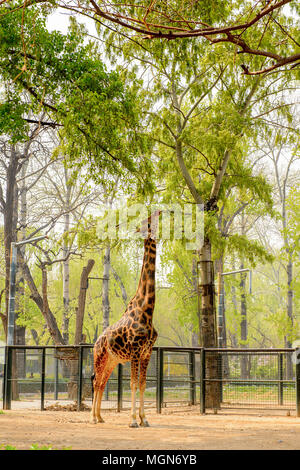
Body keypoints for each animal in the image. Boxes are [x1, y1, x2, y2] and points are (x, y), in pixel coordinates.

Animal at [90, 209, 161, 426]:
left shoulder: (147, 353)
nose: (159, 210)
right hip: (100, 357)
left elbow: (143, 384)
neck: (147, 310)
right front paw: (133, 420)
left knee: (102, 382)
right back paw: (92, 418)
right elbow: (133, 384)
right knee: (96, 381)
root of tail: (96, 342)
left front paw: (144, 419)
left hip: (112, 361)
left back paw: (100, 417)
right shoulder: (136, 352)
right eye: (148, 221)